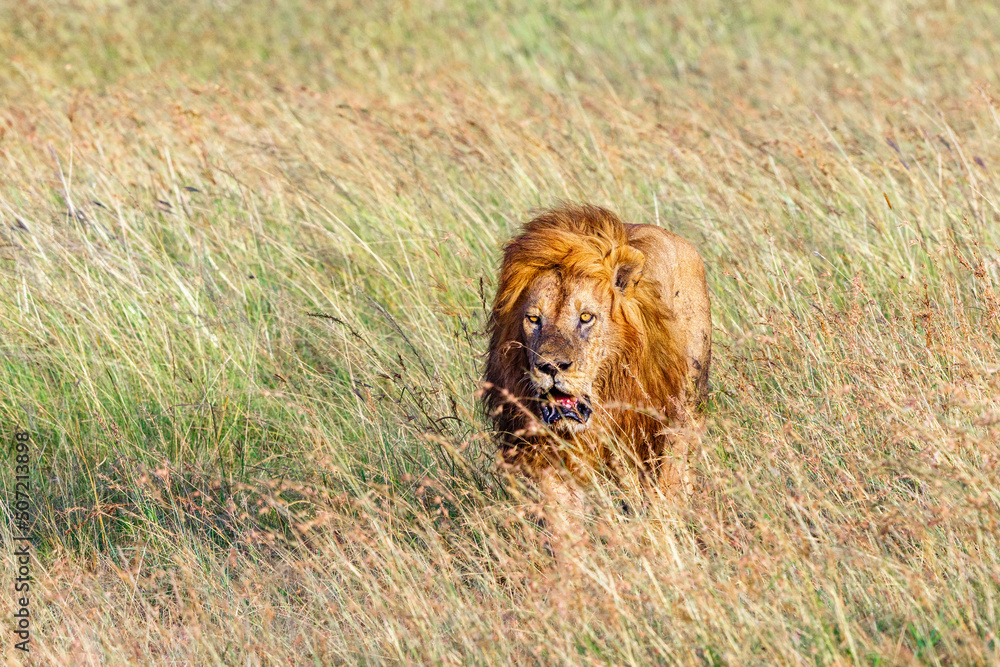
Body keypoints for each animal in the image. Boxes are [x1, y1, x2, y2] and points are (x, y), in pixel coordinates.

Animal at [482, 203, 711, 533]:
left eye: (586, 317)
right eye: (534, 319)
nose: (551, 366)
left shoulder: (673, 423)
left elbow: (668, 488)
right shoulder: (549, 450)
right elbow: (565, 524)